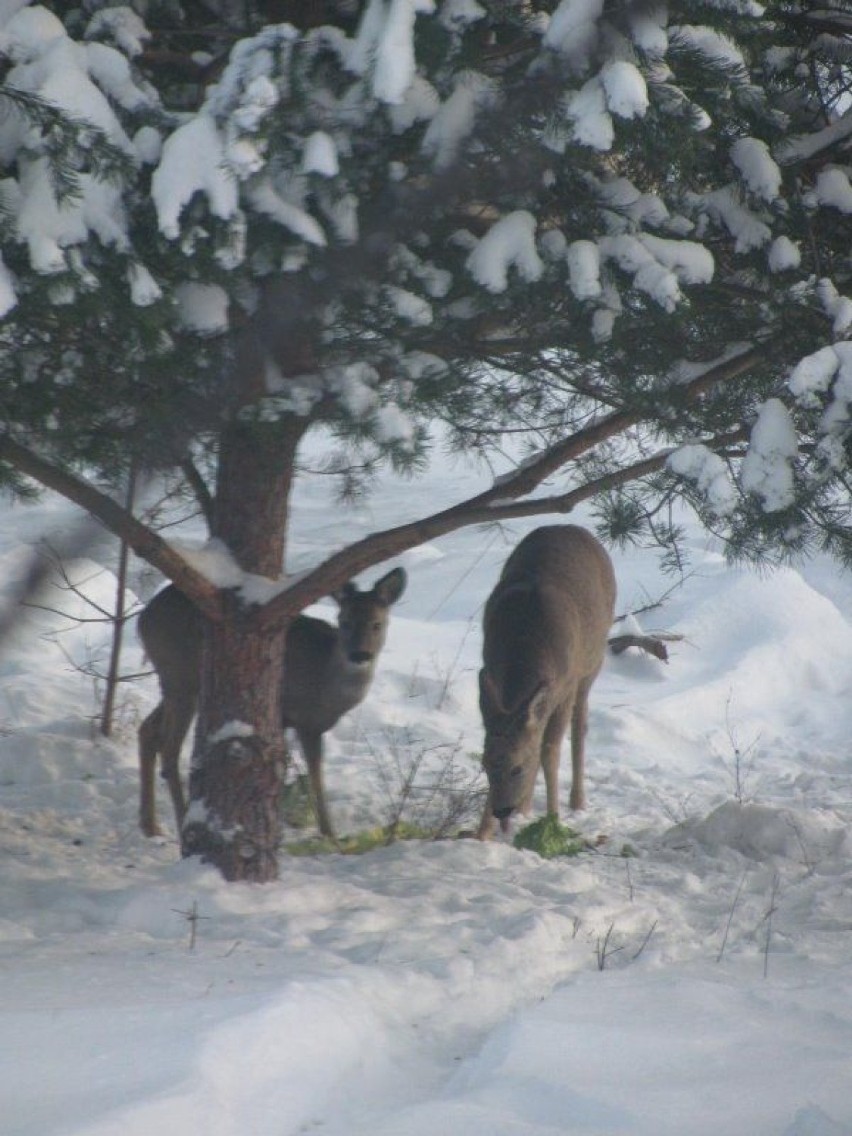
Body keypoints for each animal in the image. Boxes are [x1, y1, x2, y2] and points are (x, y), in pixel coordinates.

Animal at [138, 568, 408, 845]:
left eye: (377, 624)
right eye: (345, 621)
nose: (360, 655)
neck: (325, 681)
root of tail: (143, 619)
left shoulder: (292, 722)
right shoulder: (304, 720)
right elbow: (315, 775)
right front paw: (329, 834)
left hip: (177, 681)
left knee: (148, 730)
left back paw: (150, 826)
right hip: (180, 677)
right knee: (168, 748)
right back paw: (182, 824)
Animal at [481, 527, 613, 840]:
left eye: (517, 768)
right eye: (484, 765)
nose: (502, 811)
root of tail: (572, 528)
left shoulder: (565, 685)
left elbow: (550, 750)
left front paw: (552, 821)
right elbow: (537, 742)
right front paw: (481, 833)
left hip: (592, 664)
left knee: (580, 727)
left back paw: (577, 801)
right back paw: (528, 806)